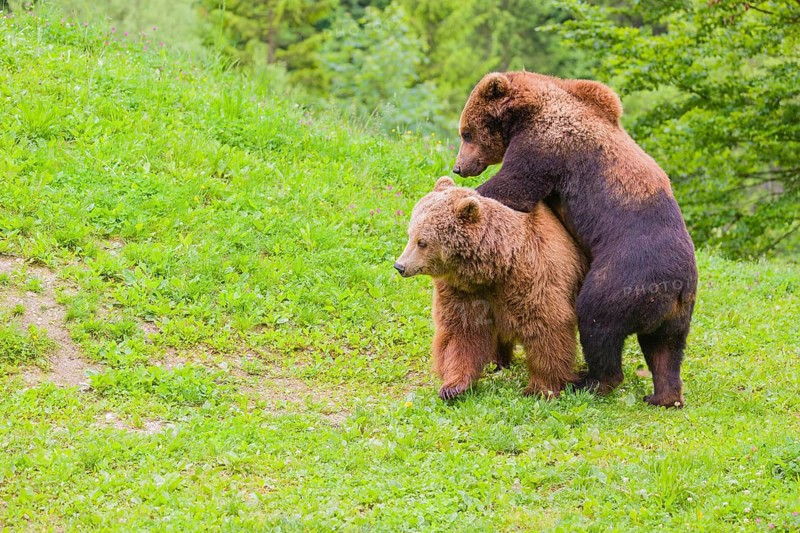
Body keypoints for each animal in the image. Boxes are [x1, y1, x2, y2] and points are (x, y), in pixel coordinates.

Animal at [394, 177, 587, 400]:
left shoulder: (533, 277)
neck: (493, 270)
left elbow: (546, 329)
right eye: (410, 234)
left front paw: (541, 388)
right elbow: (461, 332)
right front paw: (452, 387)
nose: (400, 266)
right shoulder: (462, 291)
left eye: (422, 242)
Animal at [452, 71, 698, 407]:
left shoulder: (547, 144)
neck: (527, 112)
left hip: (626, 274)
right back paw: (662, 395)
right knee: (666, 349)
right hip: (678, 313)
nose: (459, 167)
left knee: (598, 321)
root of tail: (675, 288)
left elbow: (515, 185)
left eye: (466, 132)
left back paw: (590, 381)